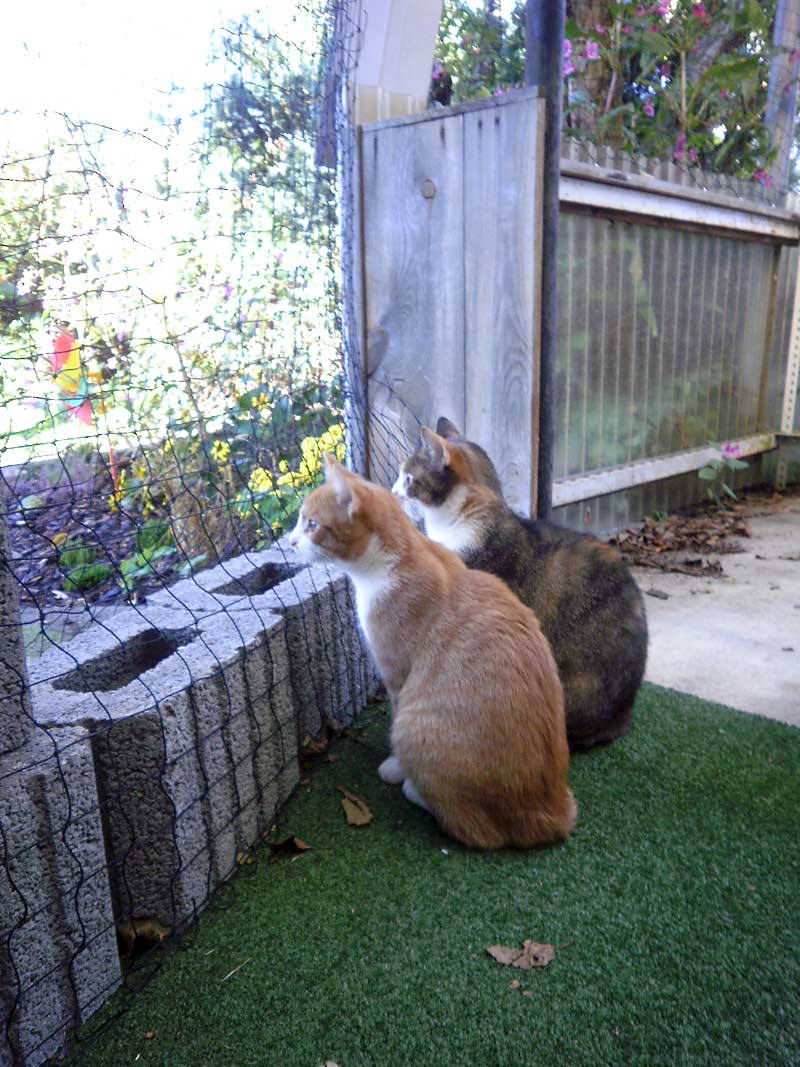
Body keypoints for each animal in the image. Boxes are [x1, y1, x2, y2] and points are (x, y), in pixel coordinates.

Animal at [289, 453, 576, 850]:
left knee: (474, 827)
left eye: (312, 524)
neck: (397, 559)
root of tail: (552, 813)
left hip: (418, 726)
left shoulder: (396, 675)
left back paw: (415, 789)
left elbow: (394, 718)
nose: (290, 541)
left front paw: (395, 767)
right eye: (299, 521)